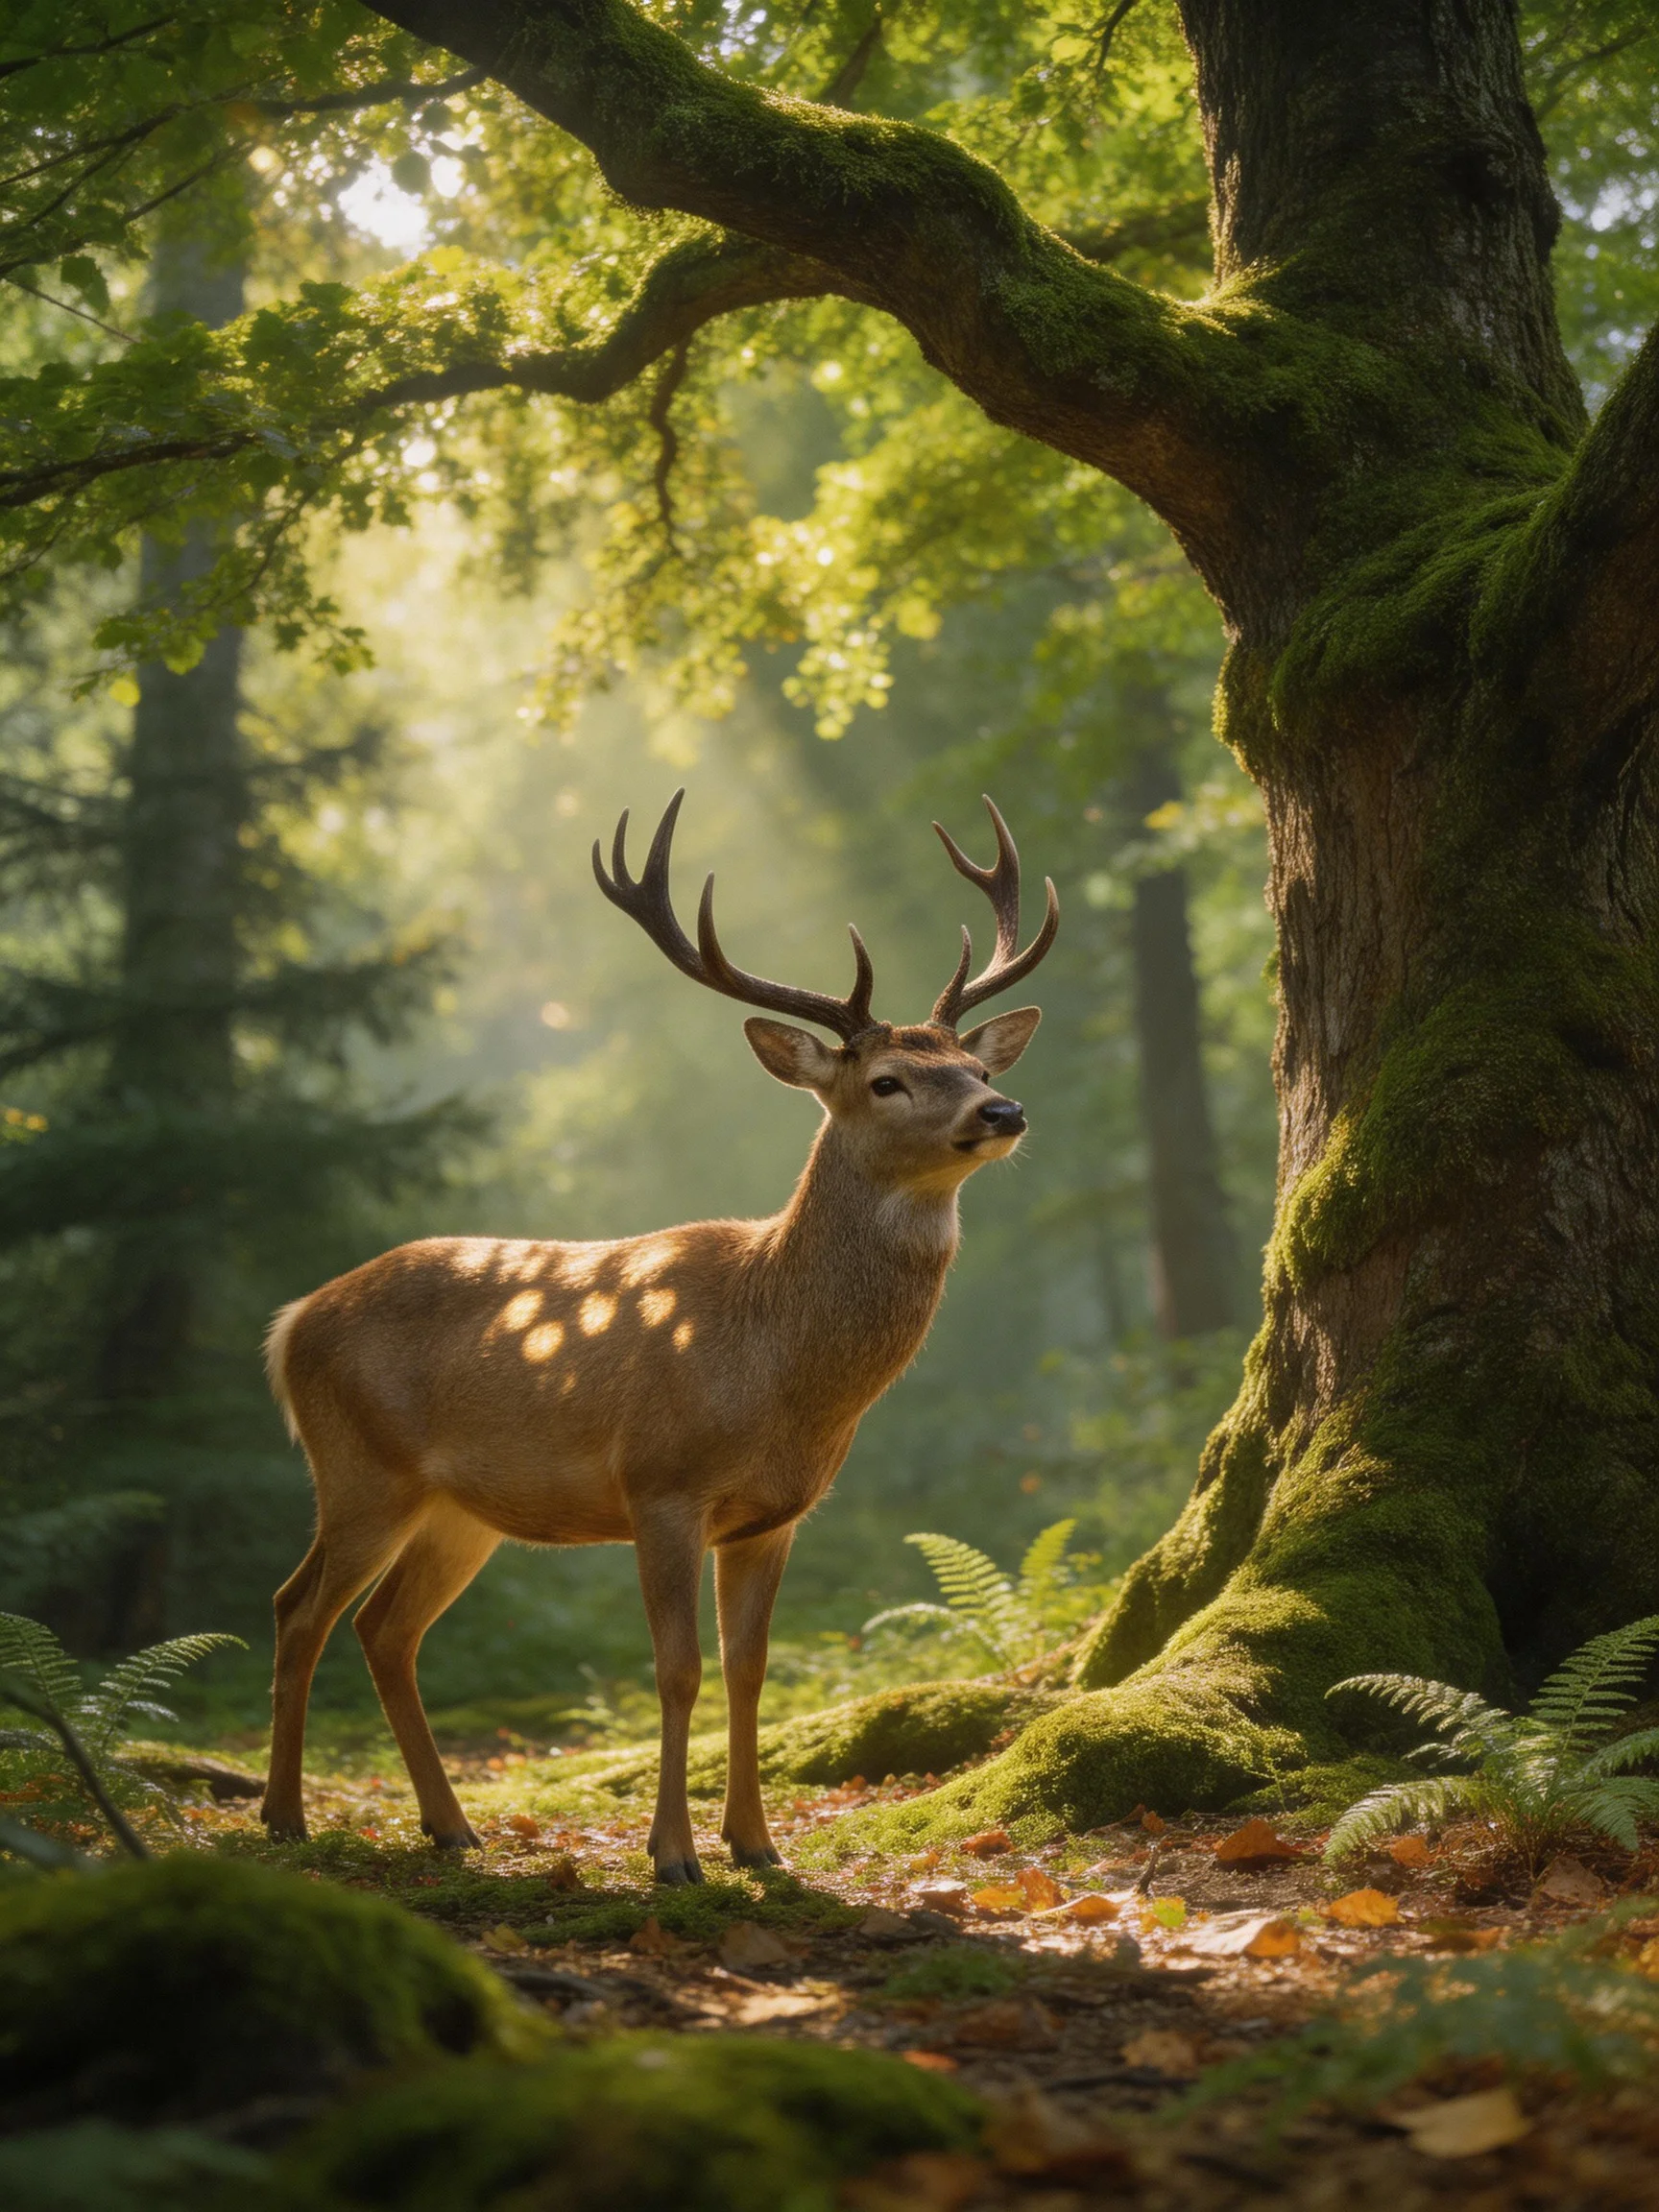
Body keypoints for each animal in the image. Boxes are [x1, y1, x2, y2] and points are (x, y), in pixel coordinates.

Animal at [259, 791, 1057, 1882]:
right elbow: (677, 1670)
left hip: (458, 1508)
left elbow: (750, 1670)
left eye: (974, 1063)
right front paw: (673, 1856)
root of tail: (289, 1324)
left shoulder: (774, 1516)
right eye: (888, 1080)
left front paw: (758, 1845)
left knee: (386, 1630)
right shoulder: (661, 1484)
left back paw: (451, 1825)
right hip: (359, 1468)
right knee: (298, 1609)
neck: (778, 1364)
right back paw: (285, 1818)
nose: (1004, 1108)